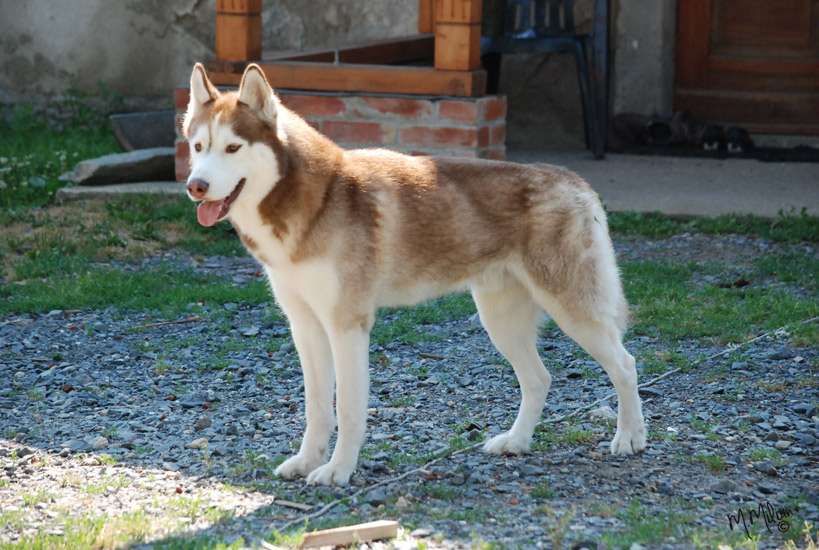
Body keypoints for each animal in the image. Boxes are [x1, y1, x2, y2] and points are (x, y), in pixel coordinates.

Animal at [183, 62, 646, 485]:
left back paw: (630, 437)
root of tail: (573, 179)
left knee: (625, 365)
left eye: (233, 148)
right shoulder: (306, 326)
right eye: (199, 146)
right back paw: (516, 442)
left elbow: (347, 409)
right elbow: (317, 408)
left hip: (572, 313)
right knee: (539, 379)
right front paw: (307, 461)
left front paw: (338, 470)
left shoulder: (347, 327)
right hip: (500, 322)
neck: (314, 201)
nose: (195, 186)